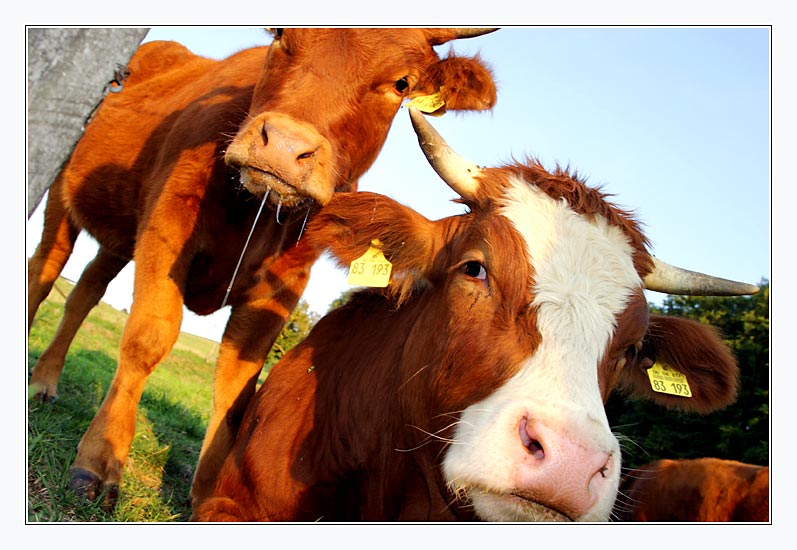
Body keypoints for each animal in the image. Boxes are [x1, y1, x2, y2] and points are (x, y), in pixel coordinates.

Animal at [26, 28, 498, 512]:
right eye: (281, 34)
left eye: (402, 83)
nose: (285, 147)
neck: (254, 211)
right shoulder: (166, 226)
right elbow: (148, 337)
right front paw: (99, 461)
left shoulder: (283, 284)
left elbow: (239, 380)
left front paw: (209, 488)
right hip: (62, 191)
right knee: (43, 272)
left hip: (119, 231)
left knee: (86, 289)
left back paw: (46, 380)